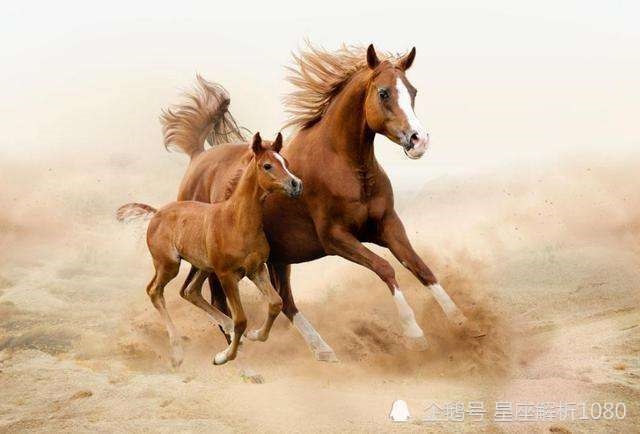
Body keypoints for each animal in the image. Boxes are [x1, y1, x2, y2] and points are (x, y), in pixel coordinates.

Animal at [127, 132, 302, 367]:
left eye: (286, 163)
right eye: (267, 166)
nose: (296, 184)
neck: (236, 221)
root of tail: (156, 214)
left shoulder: (257, 270)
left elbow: (275, 303)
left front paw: (255, 335)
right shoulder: (227, 275)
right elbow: (241, 320)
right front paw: (223, 356)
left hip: (204, 267)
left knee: (190, 291)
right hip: (169, 265)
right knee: (155, 291)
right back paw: (177, 351)